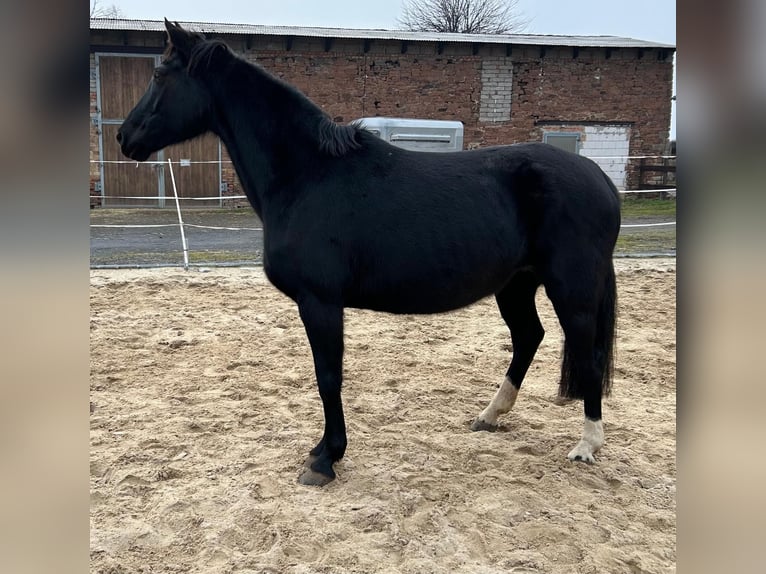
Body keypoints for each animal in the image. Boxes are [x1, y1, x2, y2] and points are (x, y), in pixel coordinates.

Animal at [120, 22, 624, 488]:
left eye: (161, 74)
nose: (126, 137)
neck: (307, 174)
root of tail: (600, 178)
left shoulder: (320, 302)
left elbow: (328, 377)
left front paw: (326, 459)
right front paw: (322, 450)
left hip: (571, 290)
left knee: (589, 354)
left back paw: (587, 445)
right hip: (516, 284)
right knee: (528, 337)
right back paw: (490, 415)